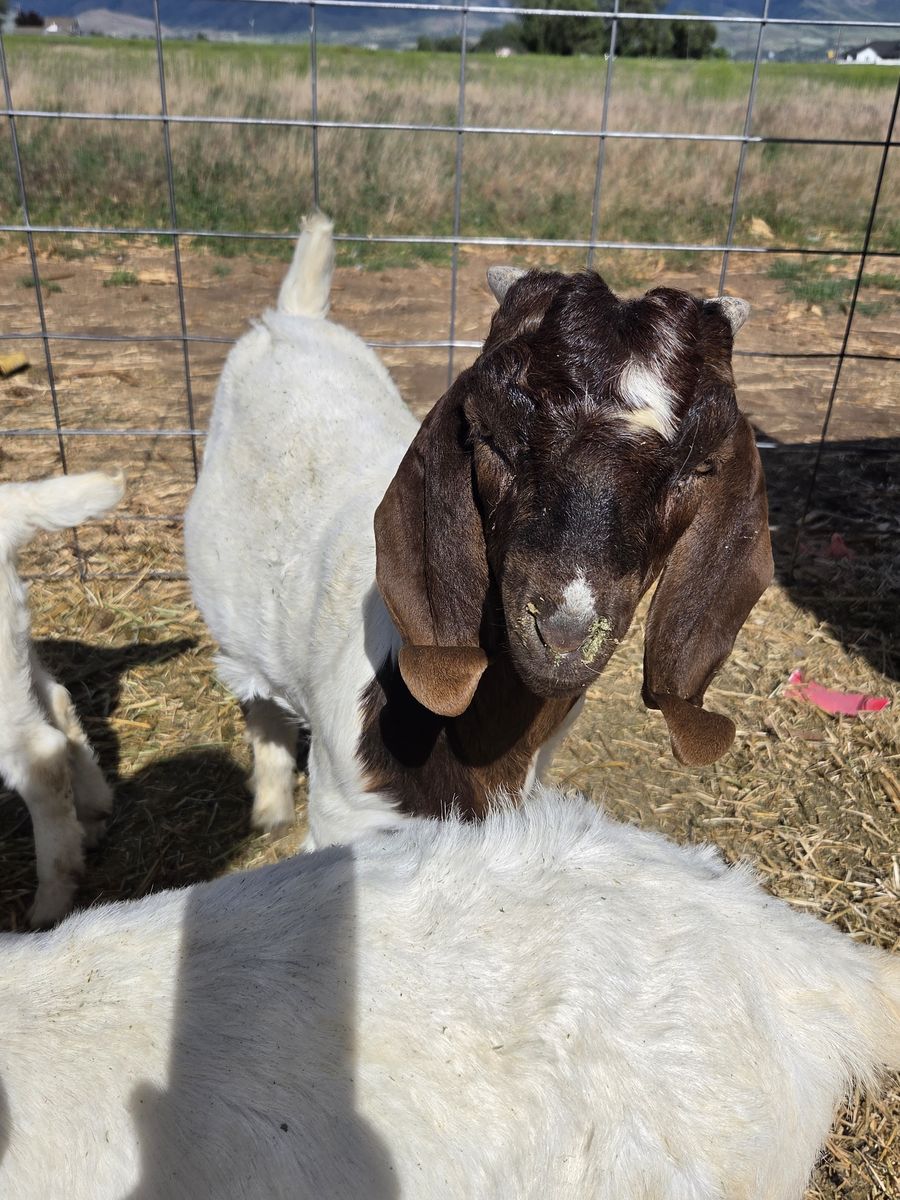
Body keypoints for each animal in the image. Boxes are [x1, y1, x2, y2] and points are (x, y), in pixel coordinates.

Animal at [185, 214, 773, 847]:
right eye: (489, 435)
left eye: (701, 468)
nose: (564, 632)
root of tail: (292, 320)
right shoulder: (345, 818)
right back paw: (271, 806)